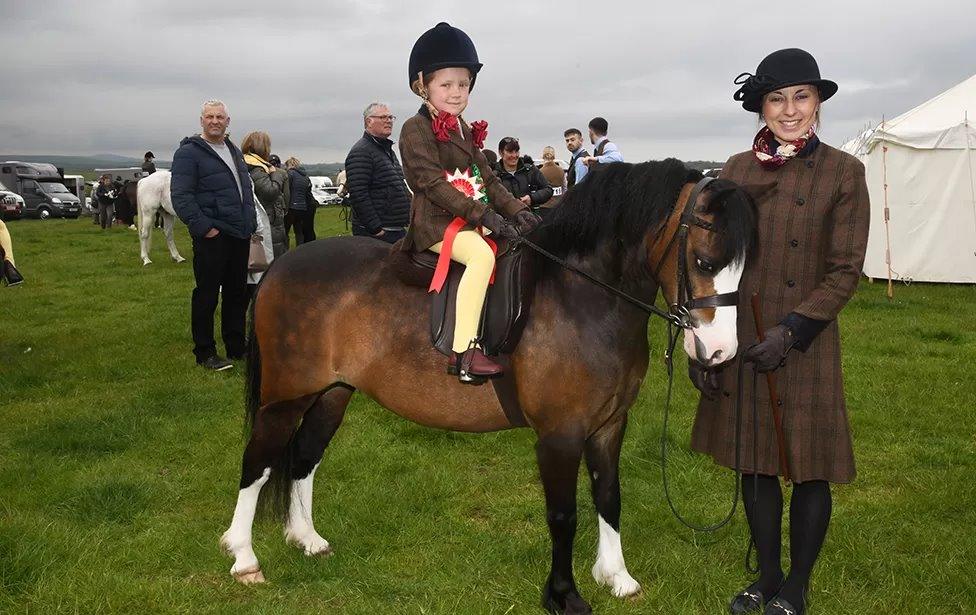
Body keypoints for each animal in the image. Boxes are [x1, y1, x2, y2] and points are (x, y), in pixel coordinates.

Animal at [223, 161, 764, 612]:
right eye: (705, 261)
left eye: (745, 267)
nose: (720, 354)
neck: (580, 297)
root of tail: (278, 267)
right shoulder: (560, 435)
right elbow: (563, 515)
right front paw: (563, 596)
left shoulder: (610, 425)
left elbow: (609, 496)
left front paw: (616, 577)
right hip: (286, 397)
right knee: (256, 462)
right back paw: (244, 557)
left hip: (332, 393)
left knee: (302, 457)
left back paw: (306, 539)